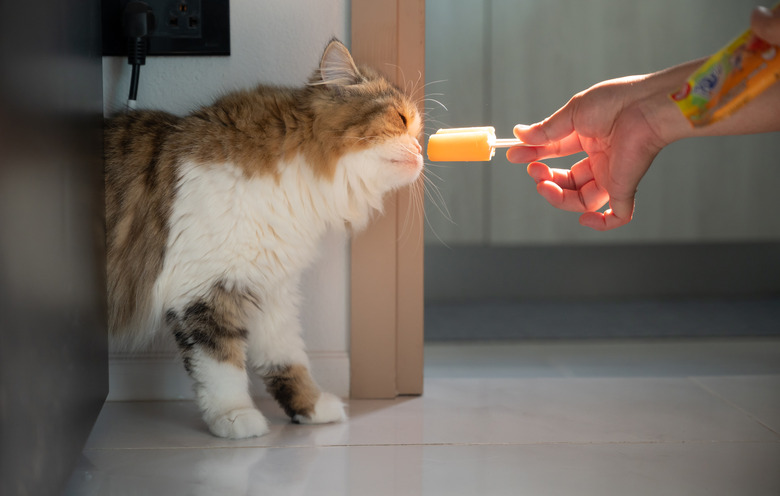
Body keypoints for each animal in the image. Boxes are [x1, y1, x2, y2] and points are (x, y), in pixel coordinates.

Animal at [103, 40, 424, 440]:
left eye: (418, 129)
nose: (422, 151)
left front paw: (310, 407)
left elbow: (287, 357)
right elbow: (221, 367)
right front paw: (235, 418)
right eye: (402, 120)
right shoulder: (204, 290)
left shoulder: (272, 287)